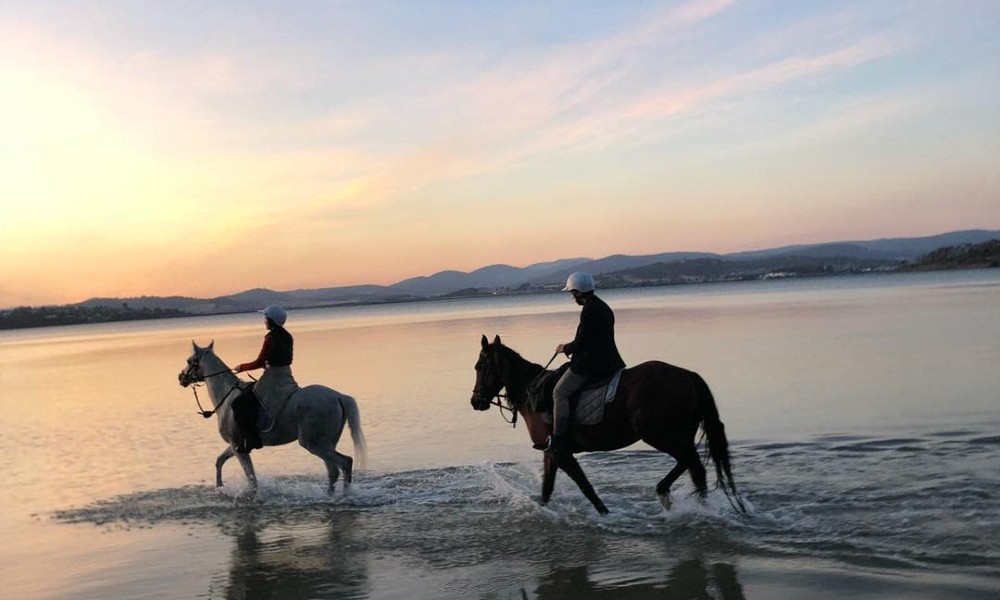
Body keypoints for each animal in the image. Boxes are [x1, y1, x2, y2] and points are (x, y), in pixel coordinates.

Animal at [179, 340, 368, 494]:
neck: (226, 396)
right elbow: (219, 461)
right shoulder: (236, 446)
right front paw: (219, 487)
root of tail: (338, 396)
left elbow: (251, 479)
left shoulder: (238, 447)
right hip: (326, 443)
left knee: (344, 463)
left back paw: (344, 496)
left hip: (315, 444)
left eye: (189, 361)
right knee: (333, 471)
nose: (180, 377)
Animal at [468, 336, 744, 512]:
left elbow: (586, 487)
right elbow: (547, 488)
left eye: (481, 367)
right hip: (679, 435)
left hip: (661, 435)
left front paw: (605, 516)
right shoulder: (551, 452)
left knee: (691, 463)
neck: (532, 391)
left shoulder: (561, 452)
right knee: (695, 469)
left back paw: (667, 493)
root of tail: (688, 376)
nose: (475, 401)